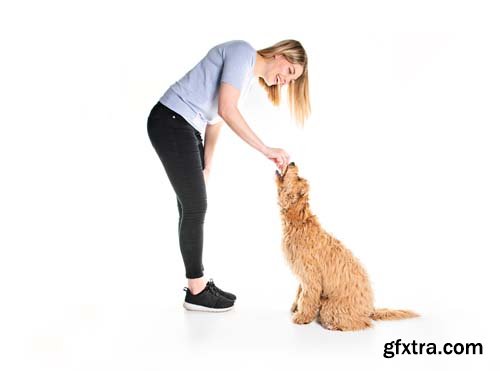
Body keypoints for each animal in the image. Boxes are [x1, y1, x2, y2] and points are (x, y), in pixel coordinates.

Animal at [274, 163, 418, 332]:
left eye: (297, 177)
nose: (292, 163)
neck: (300, 221)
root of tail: (370, 309)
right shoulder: (302, 276)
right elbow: (299, 292)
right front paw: (295, 308)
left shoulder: (311, 275)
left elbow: (307, 297)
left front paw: (302, 316)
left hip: (332, 308)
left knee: (363, 323)